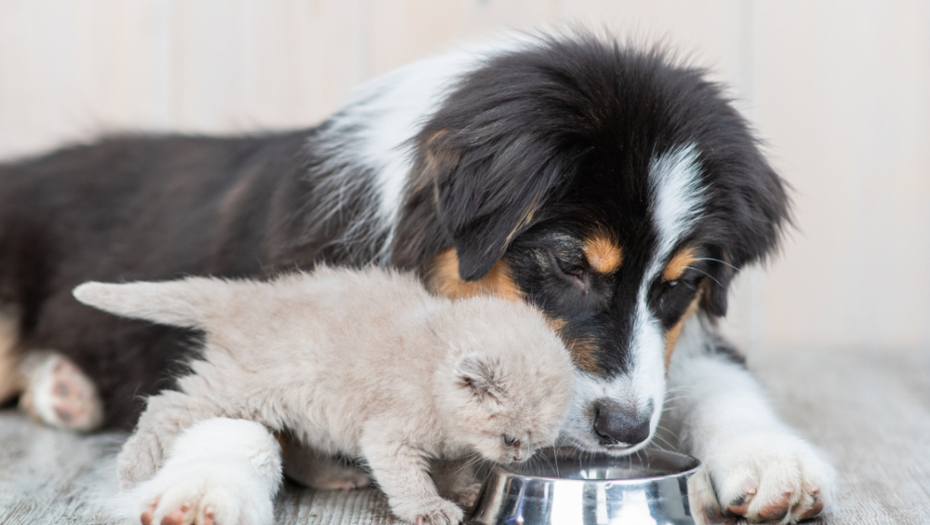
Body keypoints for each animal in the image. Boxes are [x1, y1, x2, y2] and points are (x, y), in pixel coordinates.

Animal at [74, 266, 572, 524]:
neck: (432, 370)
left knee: (291, 445)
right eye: (510, 438)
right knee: (166, 406)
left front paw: (460, 490)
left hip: (297, 403)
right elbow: (410, 479)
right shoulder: (388, 437)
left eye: (533, 443)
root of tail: (245, 295)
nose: (518, 459)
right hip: (241, 388)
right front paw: (429, 508)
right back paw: (133, 469)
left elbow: (448, 467)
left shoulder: (449, 443)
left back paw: (332, 477)